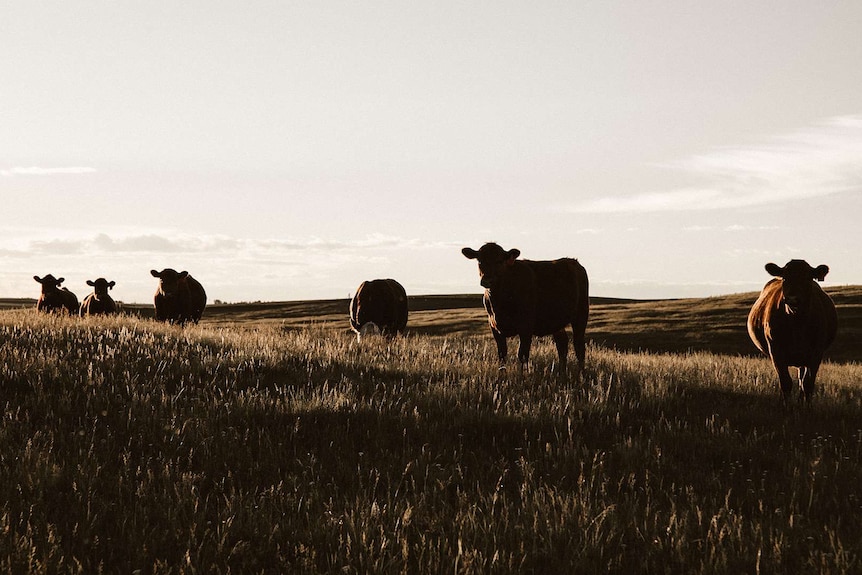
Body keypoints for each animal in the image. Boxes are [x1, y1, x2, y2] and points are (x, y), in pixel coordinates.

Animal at [462, 243, 592, 378]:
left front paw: (523, 376)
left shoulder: (526, 326)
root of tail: (573, 262)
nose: (487, 280)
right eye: (480, 261)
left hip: (581, 314)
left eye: (499, 261)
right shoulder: (494, 326)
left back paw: (581, 373)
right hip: (556, 322)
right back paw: (562, 373)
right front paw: (502, 375)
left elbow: (522, 354)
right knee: (562, 345)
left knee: (579, 345)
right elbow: (502, 354)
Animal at [744, 260, 840, 404]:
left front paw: (807, 407)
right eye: (785, 278)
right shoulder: (776, 351)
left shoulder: (816, 352)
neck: (797, 323)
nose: (792, 299)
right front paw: (786, 406)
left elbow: (808, 384)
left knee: (801, 379)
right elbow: (786, 382)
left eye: (807, 278)